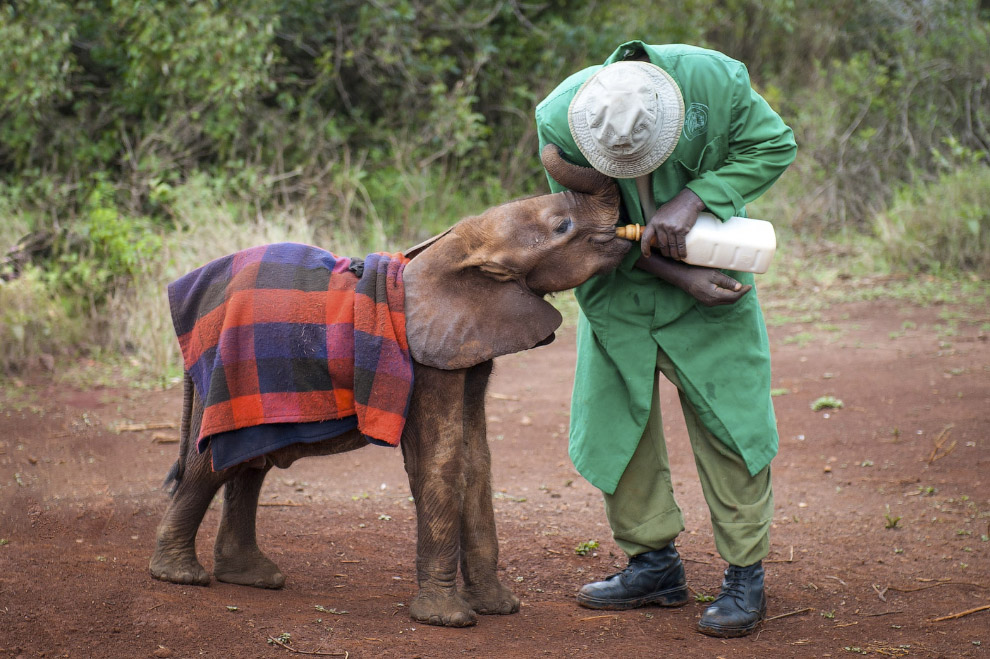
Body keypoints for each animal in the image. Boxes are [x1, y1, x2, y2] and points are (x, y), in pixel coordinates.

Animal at [149, 146, 628, 628]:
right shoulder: (428, 358)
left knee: (249, 462)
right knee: (210, 464)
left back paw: (252, 577)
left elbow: (477, 460)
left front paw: (499, 608)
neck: (457, 247)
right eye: (562, 227)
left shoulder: (467, 343)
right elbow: (441, 458)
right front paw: (448, 620)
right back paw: (179, 575)